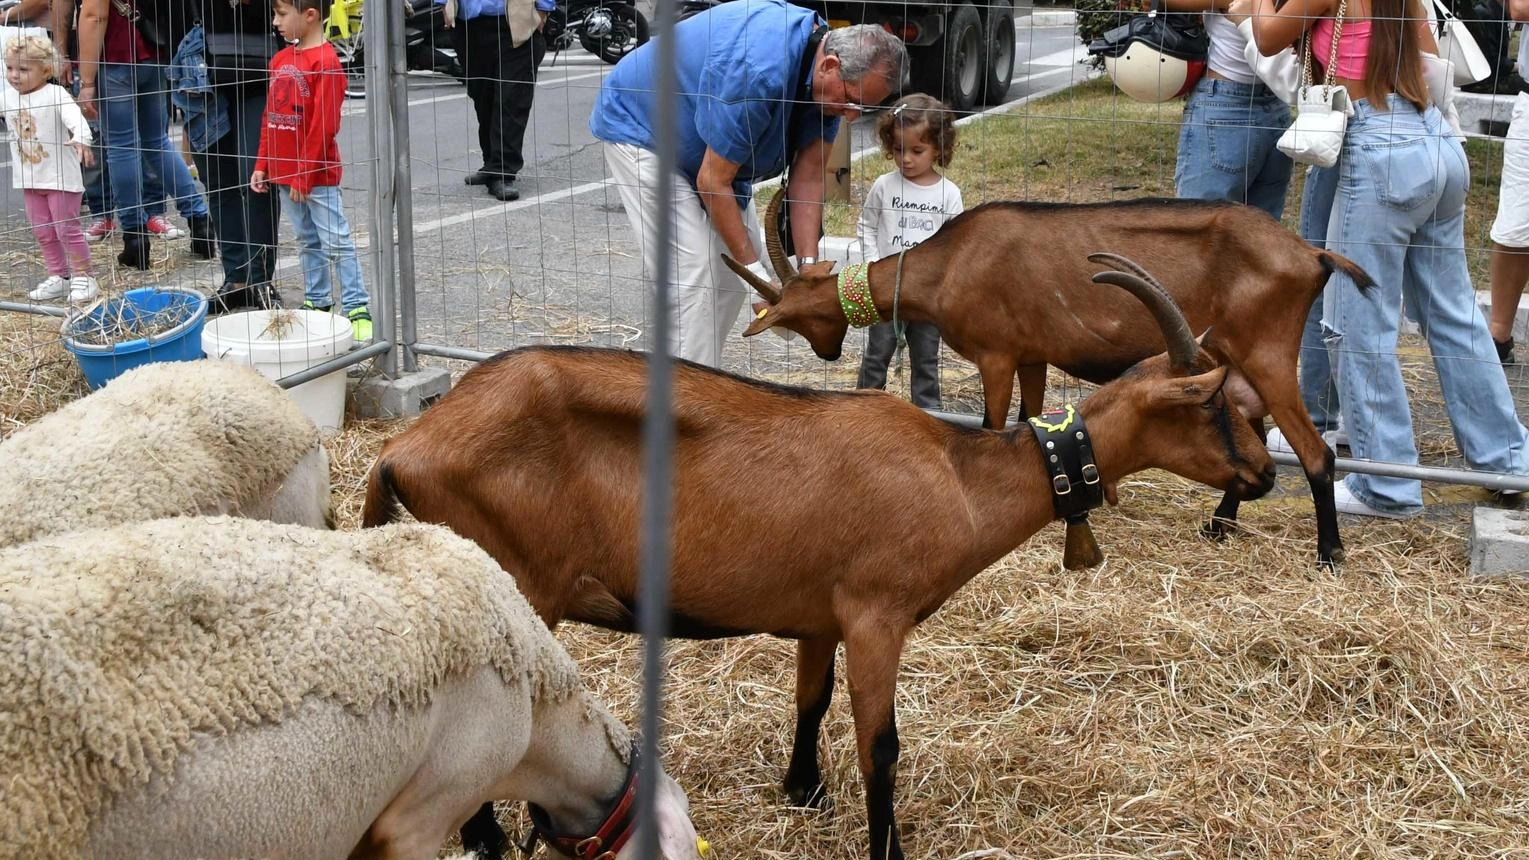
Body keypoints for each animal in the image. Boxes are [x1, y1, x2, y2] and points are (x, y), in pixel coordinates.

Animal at [360, 261, 1278, 856]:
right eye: (1214, 407)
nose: (1264, 477)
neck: (959, 476)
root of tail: (403, 449)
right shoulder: (877, 614)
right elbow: (882, 746)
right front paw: (883, 847)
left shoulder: (819, 615)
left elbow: (811, 698)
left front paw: (802, 790)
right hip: (515, 586)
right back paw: (483, 839)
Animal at [733, 189, 1382, 563]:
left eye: (799, 309)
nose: (826, 353)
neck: (948, 264)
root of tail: (1312, 254)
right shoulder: (1032, 355)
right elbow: (1030, 416)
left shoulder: (996, 354)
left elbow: (993, 421)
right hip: (1236, 357)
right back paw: (1219, 526)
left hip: (1267, 352)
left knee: (1316, 452)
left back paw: (1329, 553)